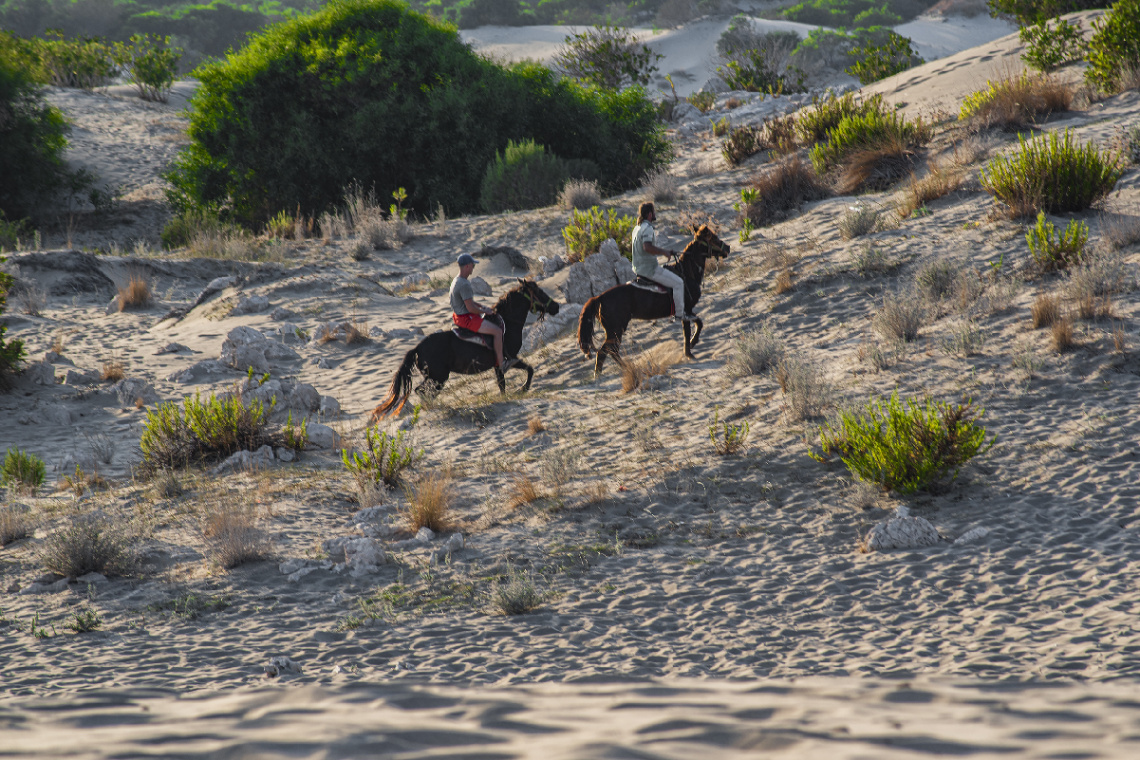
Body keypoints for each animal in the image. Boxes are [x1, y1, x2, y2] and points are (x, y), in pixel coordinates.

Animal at [371, 279, 558, 421]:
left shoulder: (499, 364)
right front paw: (523, 389)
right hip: (438, 377)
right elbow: (528, 370)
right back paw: (433, 407)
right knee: (422, 391)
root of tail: (417, 348)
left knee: (424, 391)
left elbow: (502, 383)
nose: (556, 306)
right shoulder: (509, 358)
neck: (507, 322)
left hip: (434, 377)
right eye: (539, 292)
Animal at [579, 225, 729, 378]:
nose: (728, 248)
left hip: (613, 331)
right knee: (606, 351)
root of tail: (599, 298)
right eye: (713, 237)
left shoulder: (687, 311)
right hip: (615, 330)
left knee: (610, 351)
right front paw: (690, 351)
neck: (687, 273)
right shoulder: (686, 310)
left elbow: (697, 324)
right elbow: (692, 328)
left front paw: (691, 347)